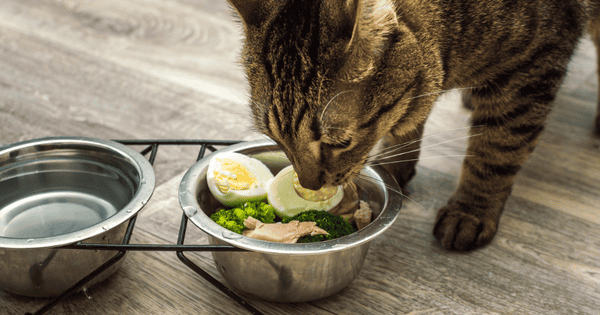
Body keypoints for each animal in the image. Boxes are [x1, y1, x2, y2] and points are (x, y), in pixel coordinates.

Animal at [226, 0, 600, 252]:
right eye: (277, 139)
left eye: (339, 143)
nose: (307, 187)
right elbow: (406, 124)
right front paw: (394, 167)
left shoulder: (531, 71)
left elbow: (497, 152)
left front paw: (470, 211)